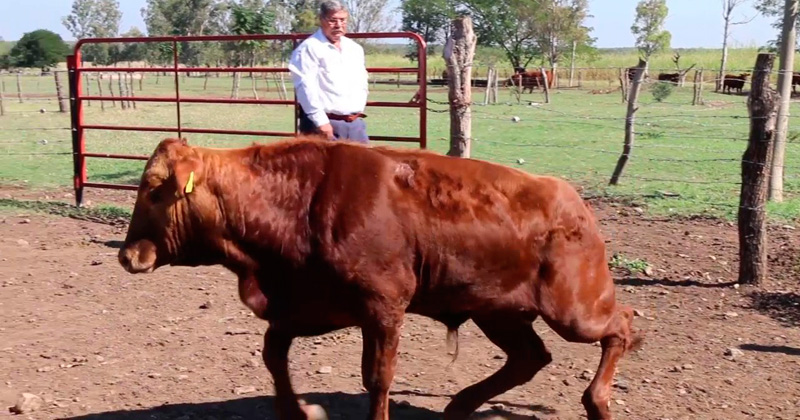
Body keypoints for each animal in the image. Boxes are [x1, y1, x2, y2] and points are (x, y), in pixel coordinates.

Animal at [118, 137, 643, 420]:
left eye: (155, 189)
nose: (128, 256)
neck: (301, 201)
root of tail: (574, 202)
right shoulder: (308, 304)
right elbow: (273, 354)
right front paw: (301, 410)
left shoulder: (384, 306)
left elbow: (378, 376)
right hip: (499, 311)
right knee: (530, 357)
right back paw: (459, 406)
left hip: (574, 308)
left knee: (621, 324)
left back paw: (596, 401)